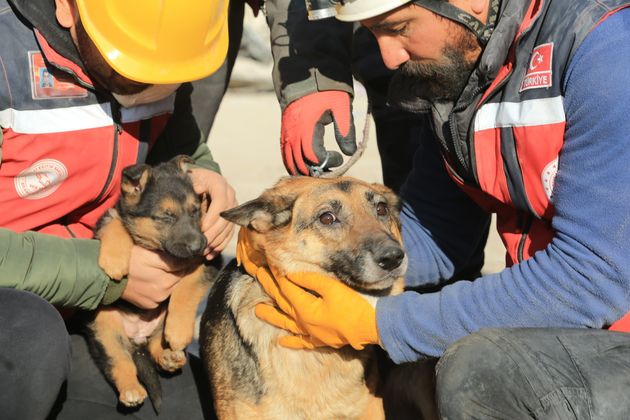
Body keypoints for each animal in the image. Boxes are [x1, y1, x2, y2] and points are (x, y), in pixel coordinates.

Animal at [83, 156, 222, 412]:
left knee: (157, 345)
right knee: (119, 361)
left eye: (195, 211)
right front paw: (114, 261)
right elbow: (114, 222)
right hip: (104, 326)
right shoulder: (110, 219)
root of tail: (138, 338)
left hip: (157, 323)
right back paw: (131, 390)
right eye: (166, 217)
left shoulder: (209, 262)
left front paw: (178, 331)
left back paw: (169, 357)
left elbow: (186, 288)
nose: (198, 246)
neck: (157, 248)